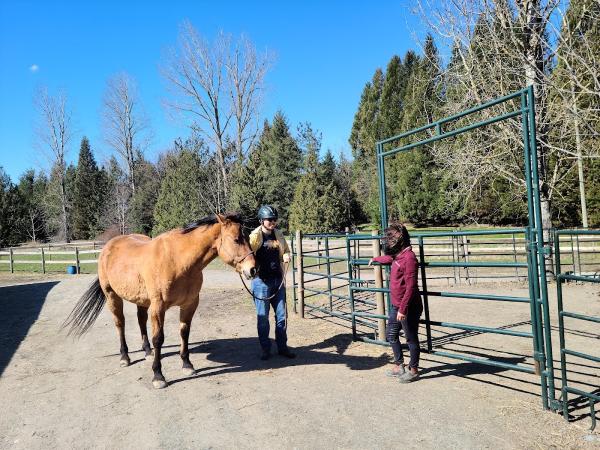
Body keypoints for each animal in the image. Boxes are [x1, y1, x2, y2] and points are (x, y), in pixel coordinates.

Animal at [63, 213, 255, 388]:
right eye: (237, 240)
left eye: (248, 238)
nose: (253, 269)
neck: (178, 261)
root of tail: (108, 246)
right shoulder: (158, 307)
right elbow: (159, 339)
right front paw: (158, 376)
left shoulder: (190, 304)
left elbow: (184, 333)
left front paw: (187, 365)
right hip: (112, 295)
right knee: (120, 324)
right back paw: (125, 357)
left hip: (141, 300)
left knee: (141, 321)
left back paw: (147, 351)